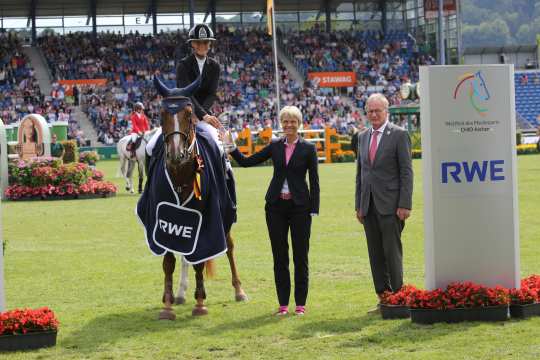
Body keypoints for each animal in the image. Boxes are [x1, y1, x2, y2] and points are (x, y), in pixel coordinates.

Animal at [150, 76, 247, 318]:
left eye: (188, 113)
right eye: (161, 114)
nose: (176, 154)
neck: (181, 175)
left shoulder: (205, 219)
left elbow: (200, 262)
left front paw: (200, 303)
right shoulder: (164, 218)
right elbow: (169, 262)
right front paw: (167, 305)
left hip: (226, 214)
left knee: (229, 247)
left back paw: (239, 290)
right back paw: (180, 293)